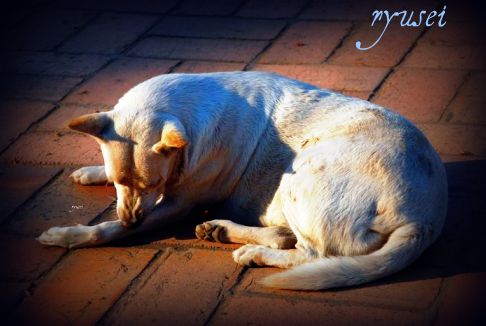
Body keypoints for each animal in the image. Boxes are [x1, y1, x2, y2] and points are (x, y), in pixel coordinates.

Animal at [38, 72, 448, 290]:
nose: (132, 220)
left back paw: (253, 252)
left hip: (300, 176)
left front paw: (68, 235)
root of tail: (425, 217)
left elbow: (105, 230)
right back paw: (223, 230)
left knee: (310, 253)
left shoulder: (177, 205)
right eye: (121, 182)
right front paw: (92, 172)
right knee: (286, 237)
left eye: (152, 185)